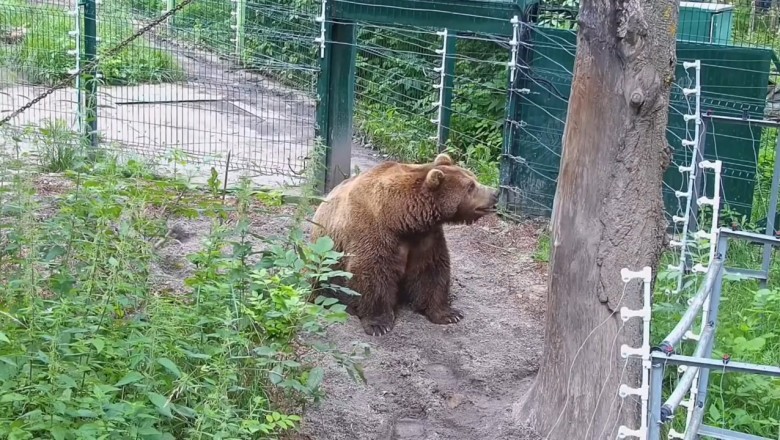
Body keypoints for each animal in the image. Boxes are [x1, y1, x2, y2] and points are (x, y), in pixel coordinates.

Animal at [309, 153, 499, 336]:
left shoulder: (425, 237)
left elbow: (431, 270)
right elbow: (371, 272)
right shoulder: (374, 230)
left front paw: (449, 314)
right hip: (324, 257)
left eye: (474, 178)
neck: (401, 218)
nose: (495, 192)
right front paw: (379, 324)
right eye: (470, 186)